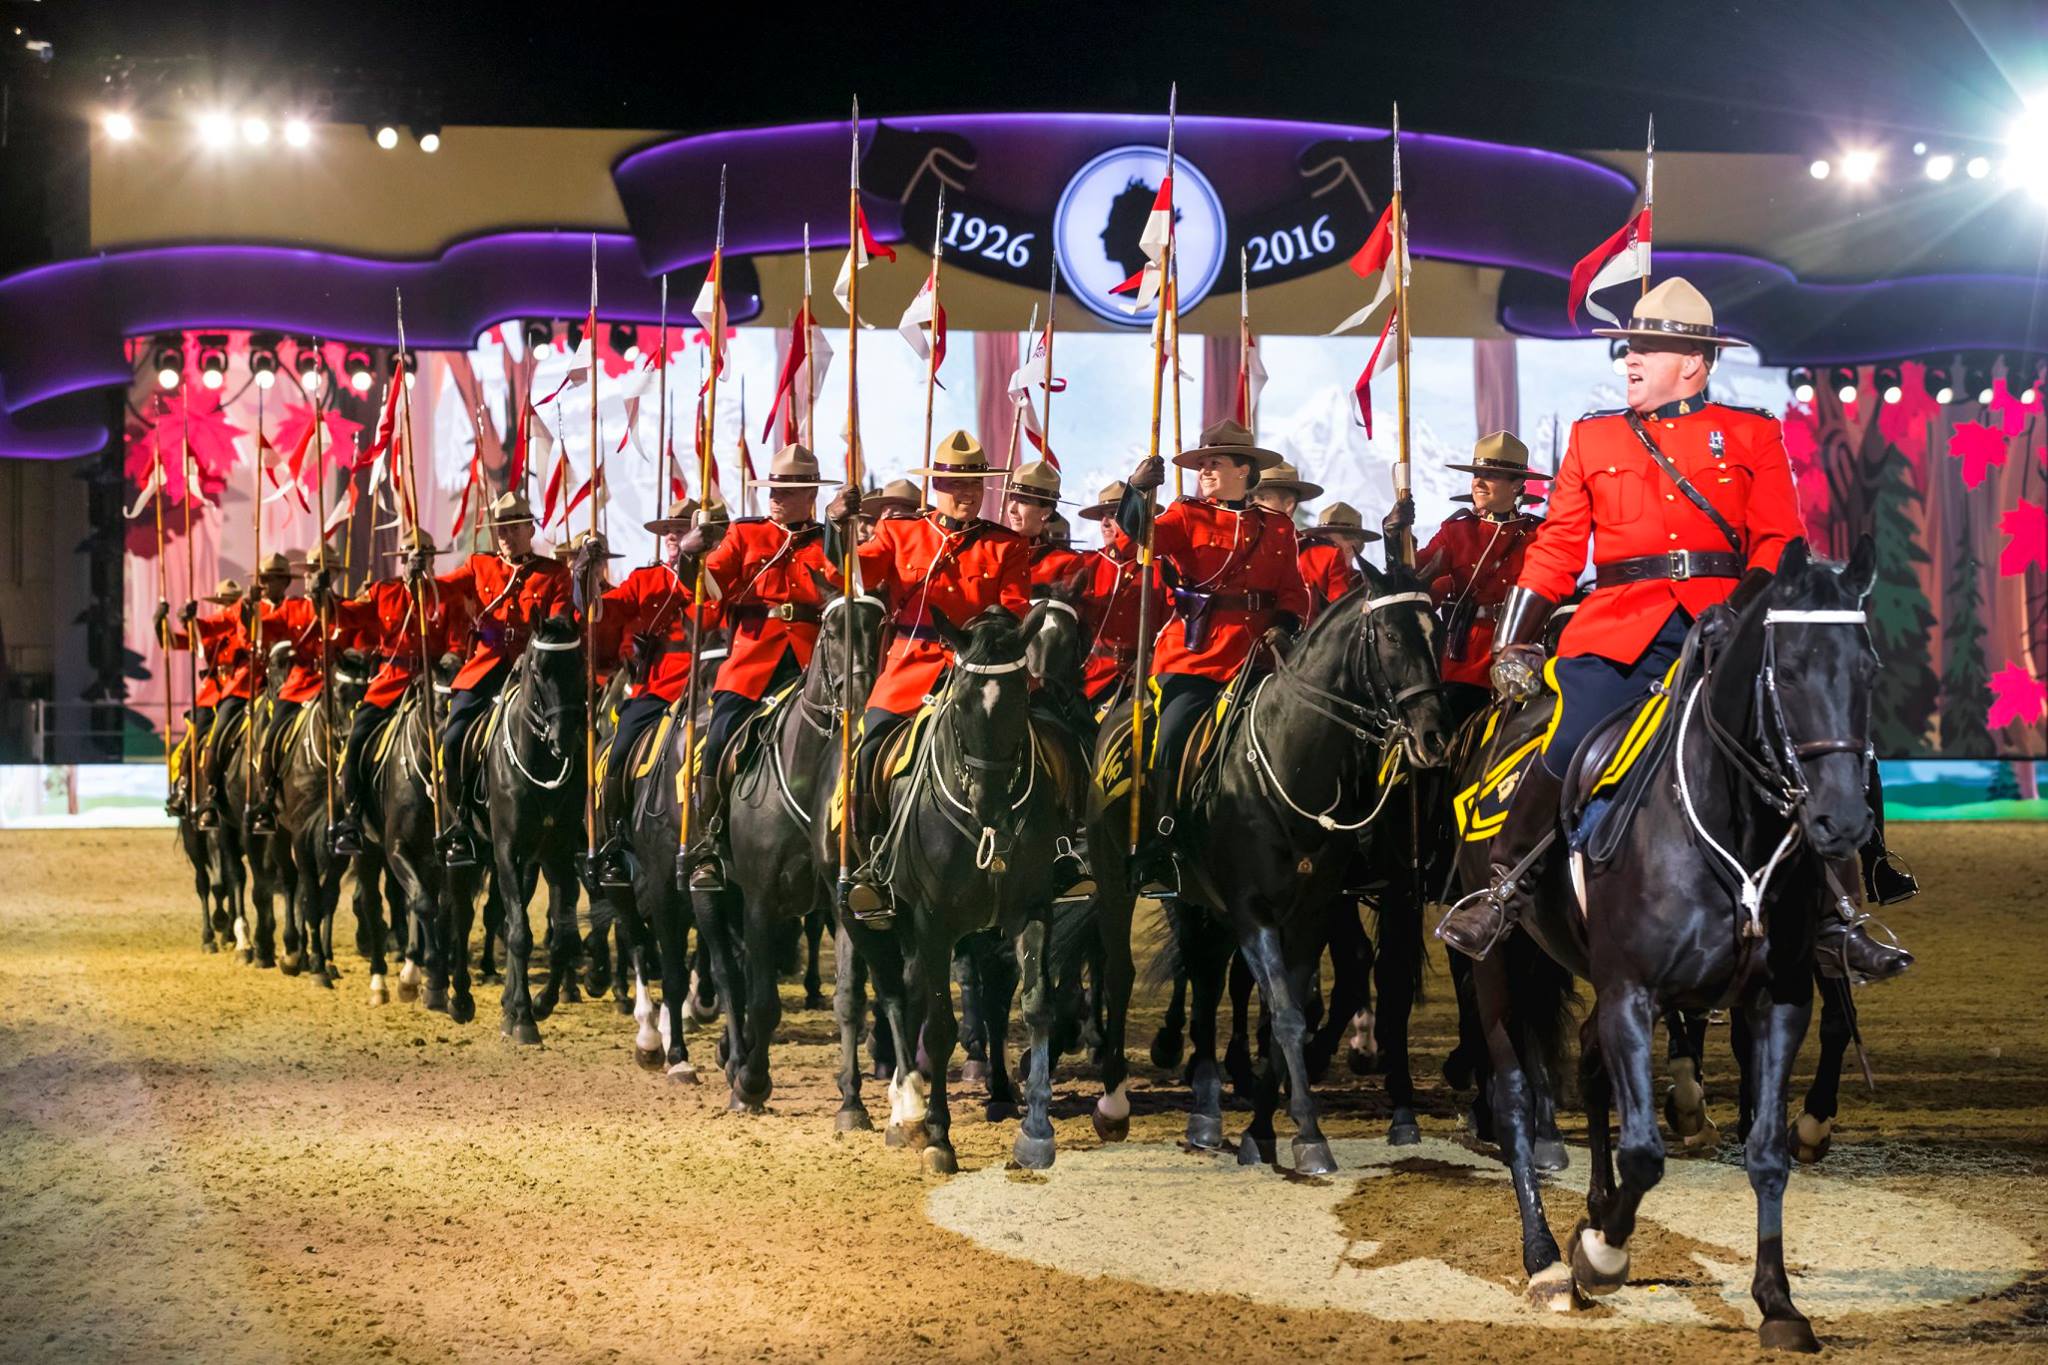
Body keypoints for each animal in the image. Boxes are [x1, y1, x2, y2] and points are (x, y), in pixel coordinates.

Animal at [1097, 560, 1449, 1170]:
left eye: (1439, 634)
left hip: (1202, 902)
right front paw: (1305, 1131)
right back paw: (1115, 1101)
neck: (1296, 760)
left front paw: (1265, 1130)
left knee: (1207, 976)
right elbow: (1282, 1008)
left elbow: (1293, 1008)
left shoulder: (1314, 911)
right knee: (1123, 971)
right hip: (1118, 880)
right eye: (1391, 635)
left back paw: (1206, 1112)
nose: (1432, 736)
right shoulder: (1252, 909)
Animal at [1458, 536, 1875, 1342]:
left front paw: (1777, 1302)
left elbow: (1767, 1151)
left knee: (1589, 1062)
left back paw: (1590, 1212)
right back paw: (1546, 1258)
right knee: (1517, 1096)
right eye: (1791, 669)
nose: (1841, 820)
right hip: (1499, 964)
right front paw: (1600, 1257)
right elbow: (1645, 1153)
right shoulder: (1632, 992)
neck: (1729, 822)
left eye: (1868, 666)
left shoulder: (1779, 999)